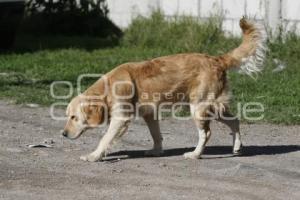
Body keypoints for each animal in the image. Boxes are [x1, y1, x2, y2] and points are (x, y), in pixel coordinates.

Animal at [62, 16, 266, 161]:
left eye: (74, 117)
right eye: (68, 117)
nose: (63, 134)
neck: (109, 86)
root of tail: (217, 59)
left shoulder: (121, 119)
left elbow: (105, 139)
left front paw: (93, 156)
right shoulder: (149, 114)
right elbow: (156, 134)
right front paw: (156, 151)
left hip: (199, 107)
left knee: (206, 133)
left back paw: (195, 154)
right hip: (214, 107)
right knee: (235, 120)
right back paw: (237, 146)